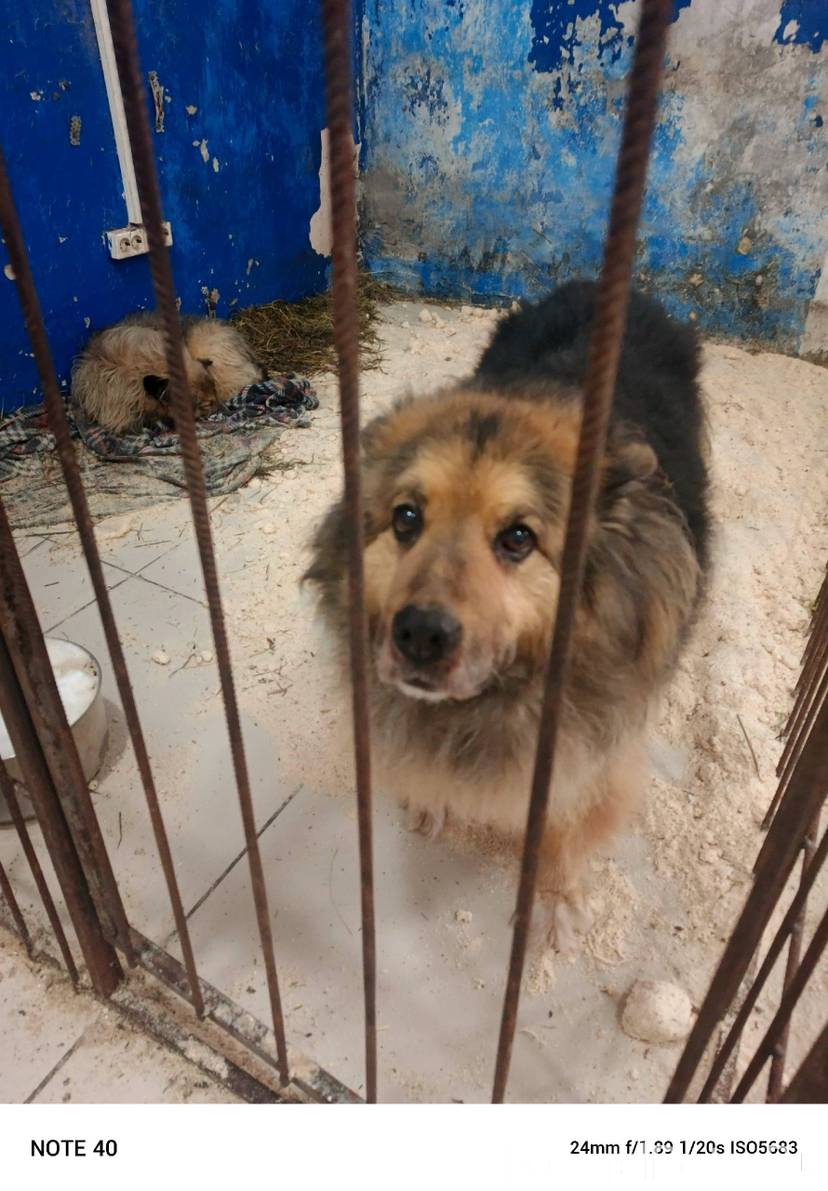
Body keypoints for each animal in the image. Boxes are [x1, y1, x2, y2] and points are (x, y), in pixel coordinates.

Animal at [305, 280, 710, 946]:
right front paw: (430, 800)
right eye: (406, 519)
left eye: (518, 538)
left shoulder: (588, 758)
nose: (420, 634)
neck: (494, 699)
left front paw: (554, 899)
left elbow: (565, 830)